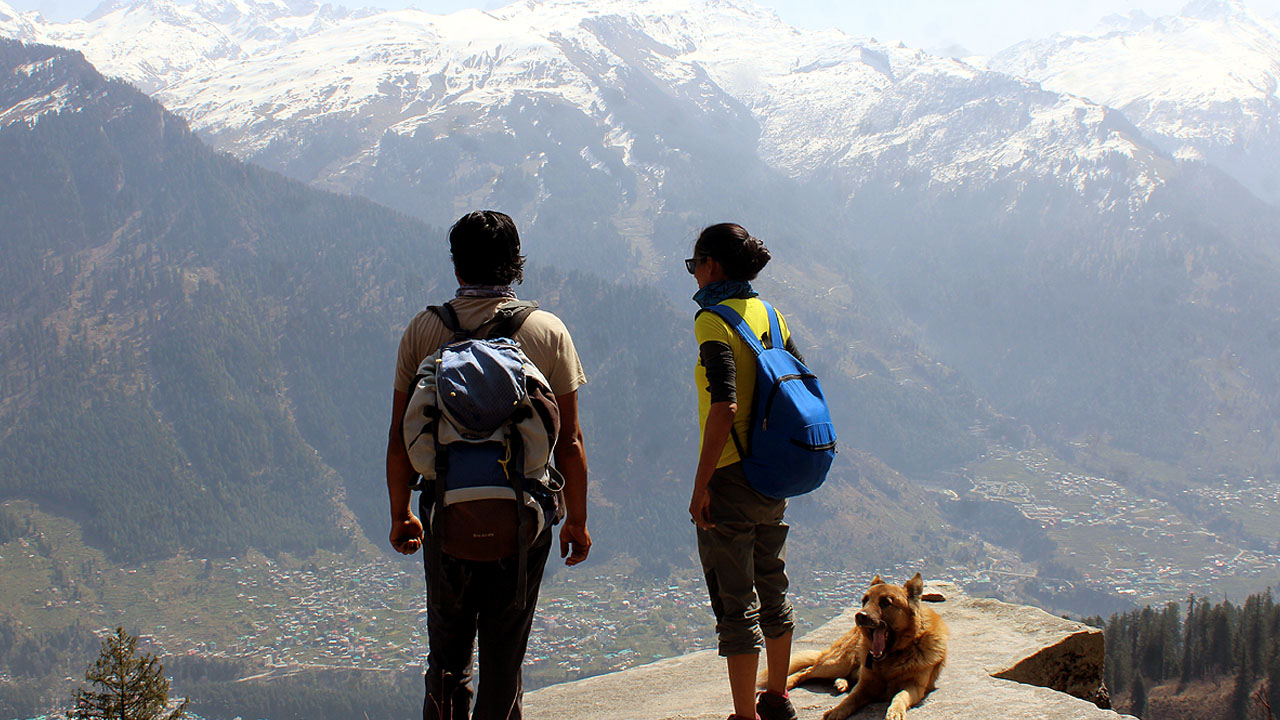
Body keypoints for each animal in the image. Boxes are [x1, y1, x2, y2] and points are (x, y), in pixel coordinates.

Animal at [773, 571, 947, 717]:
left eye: (886, 602)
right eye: (865, 600)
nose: (860, 616)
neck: (893, 656)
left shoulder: (914, 686)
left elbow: (900, 696)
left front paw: (895, 711)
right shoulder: (866, 685)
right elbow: (851, 699)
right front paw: (836, 711)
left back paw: (841, 682)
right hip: (837, 663)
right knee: (806, 671)